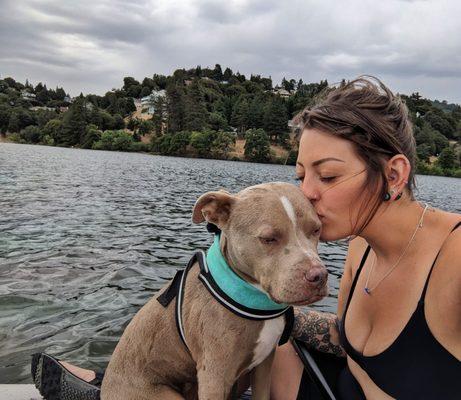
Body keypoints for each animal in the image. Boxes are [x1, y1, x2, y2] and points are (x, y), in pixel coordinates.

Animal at [100, 183, 328, 400]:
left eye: (316, 230)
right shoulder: (215, 378)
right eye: (268, 238)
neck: (252, 297)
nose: (319, 275)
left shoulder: (264, 364)